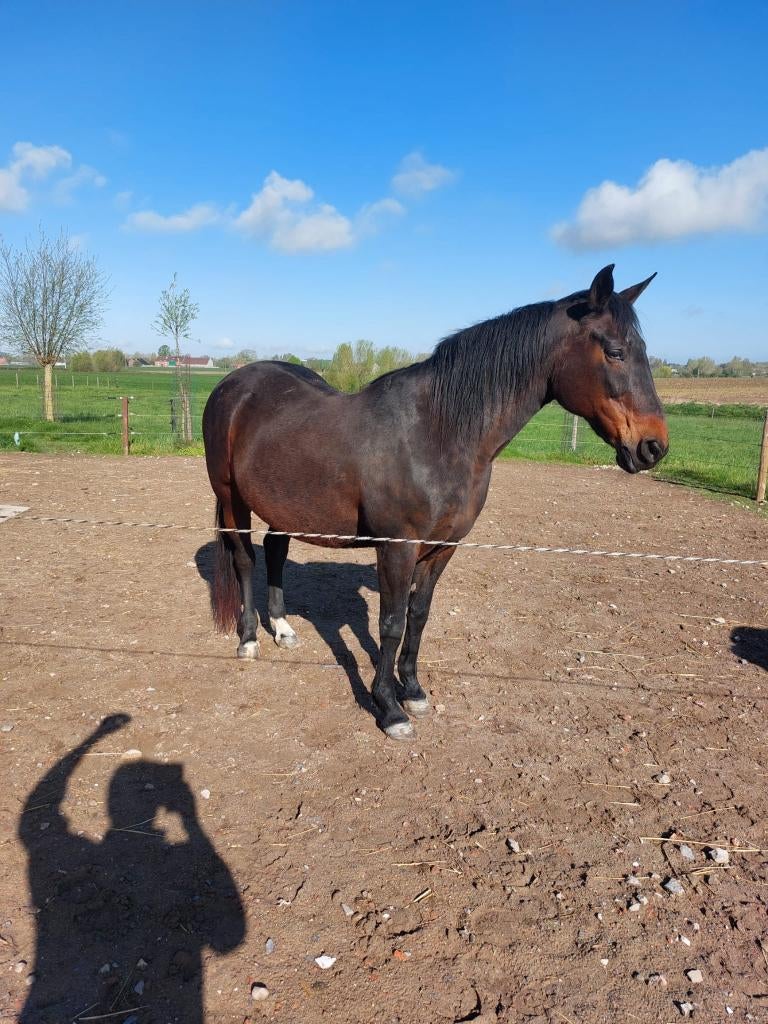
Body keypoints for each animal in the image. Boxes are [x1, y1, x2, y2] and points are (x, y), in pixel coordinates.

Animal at [202, 265, 668, 740]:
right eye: (615, 352)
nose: (654, 447)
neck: (436, 432)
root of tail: (233, 383)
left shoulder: (442, 549)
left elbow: (419, 617)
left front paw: (413, 691)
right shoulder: (397, 547)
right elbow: (390, 624)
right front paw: (389, 709)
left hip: (287, 506)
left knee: (276, 550)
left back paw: (282, 630)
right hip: (231, 497)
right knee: (245, 560)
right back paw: (249, 640)